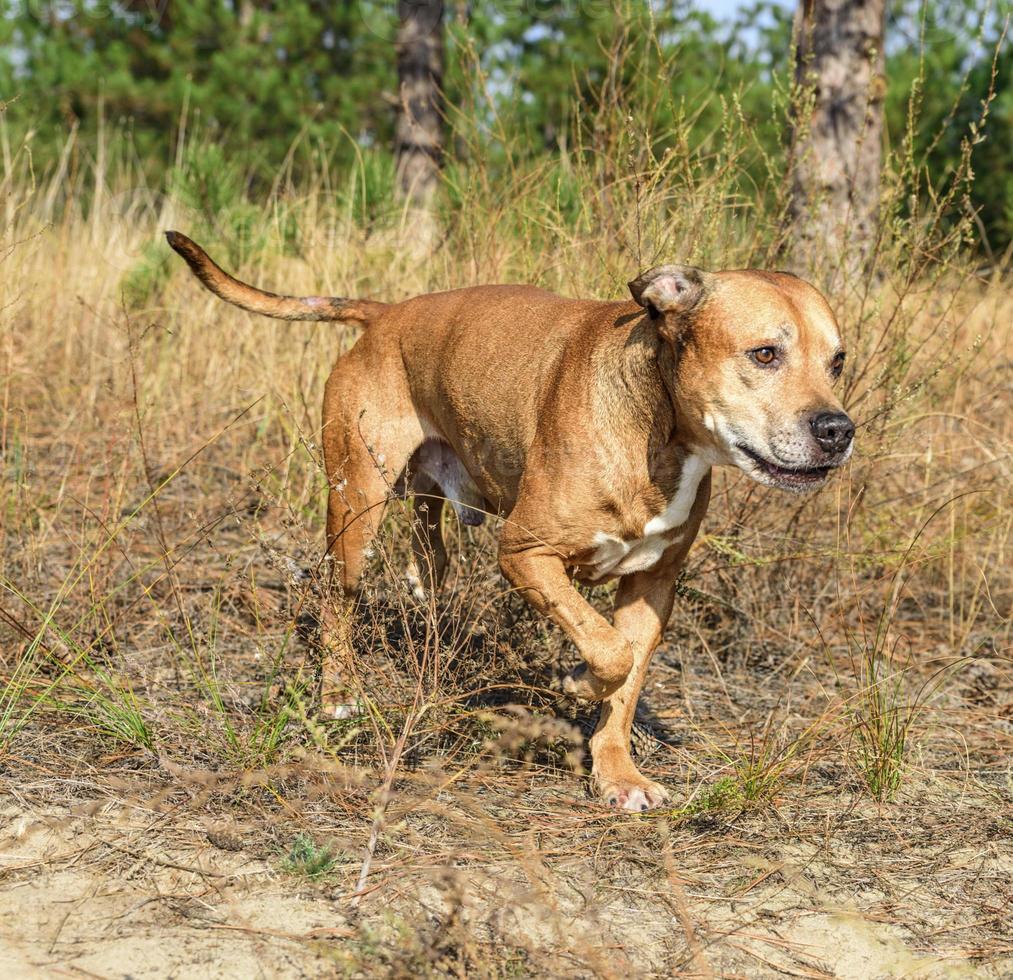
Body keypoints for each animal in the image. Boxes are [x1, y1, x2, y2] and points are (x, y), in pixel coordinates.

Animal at [168, 232, 854, 810]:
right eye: (764, 354)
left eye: (838, 362)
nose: (838, 430)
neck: (658, 429)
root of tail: (387, 314)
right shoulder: (525, 552)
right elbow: (608, 651)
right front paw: (576, 682)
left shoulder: (653, 585)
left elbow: (627, 673)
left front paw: (617, 773)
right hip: (357, 504)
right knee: (337, 598)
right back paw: (338, 695)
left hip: (426, 492)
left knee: (429, 553)